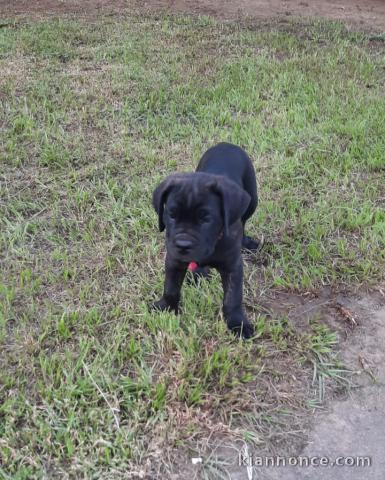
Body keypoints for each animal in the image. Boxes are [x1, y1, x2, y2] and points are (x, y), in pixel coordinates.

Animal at [150, 142, 258, 338]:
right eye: (172, 215)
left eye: (206, 219)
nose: (183, 245)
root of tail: (227, 144)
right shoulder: (174, 259)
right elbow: (171, 286)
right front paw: (166, 306)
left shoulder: (233, 267)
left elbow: (232, 297)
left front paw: (238, 323)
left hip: (252, 200)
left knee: (245, 220)